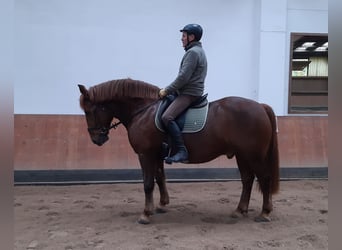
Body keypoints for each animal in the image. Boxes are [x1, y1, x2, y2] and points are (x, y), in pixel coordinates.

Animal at [79, 77, 280, 223]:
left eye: (88, 111)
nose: (97, 139)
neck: (143, 111)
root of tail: (260, 106)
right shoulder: (156, 155)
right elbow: (160, 178)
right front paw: (161, 205)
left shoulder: (145, 154)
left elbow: (148, 183)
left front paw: (145, 214)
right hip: (242, 155)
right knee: (247, 180)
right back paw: (239, 210)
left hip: (254, 155)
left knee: (264, 178)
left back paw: (264, 213)